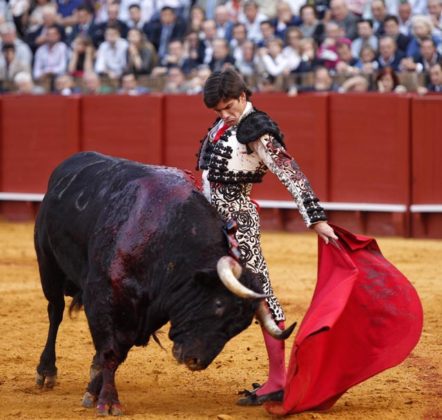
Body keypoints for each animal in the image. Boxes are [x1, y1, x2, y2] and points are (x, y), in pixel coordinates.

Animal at [34, 153, 296, 416]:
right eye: (218, 304)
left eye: (238, 328)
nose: (196, 362)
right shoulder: (102, 299)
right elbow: (109, 351)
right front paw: (107, 401)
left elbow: (117, 353)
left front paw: (94, 389)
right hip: (48, 266)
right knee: (55, 312)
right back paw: (46, 372)